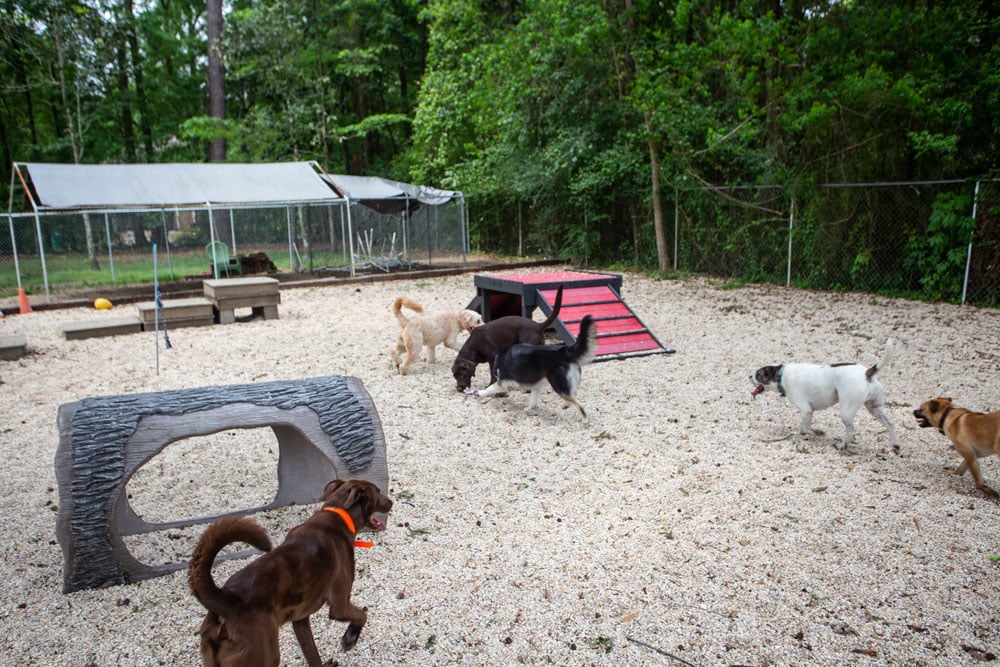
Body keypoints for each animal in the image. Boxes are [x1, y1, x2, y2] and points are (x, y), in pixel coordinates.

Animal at [189, 480, 392, 667]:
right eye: (378, 491)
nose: (391, 501)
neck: (338, 514)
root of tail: (226, 600)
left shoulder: (300, 620)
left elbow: (312, 654)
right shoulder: (339, 606)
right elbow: (362, 615)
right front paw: (350, 637)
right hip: (265, 654)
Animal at [748, 340, 904, 454]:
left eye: (758, 374)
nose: (749, 376)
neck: (781, 375)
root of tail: (867, 373)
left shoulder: (805, 409)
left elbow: (804, 428)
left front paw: (813, 433)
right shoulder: (810, 411)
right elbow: (807, 426)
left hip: (846, 411)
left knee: (851, 431)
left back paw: (842, 445)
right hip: (875, 408)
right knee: (890, 424)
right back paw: (895, 445)